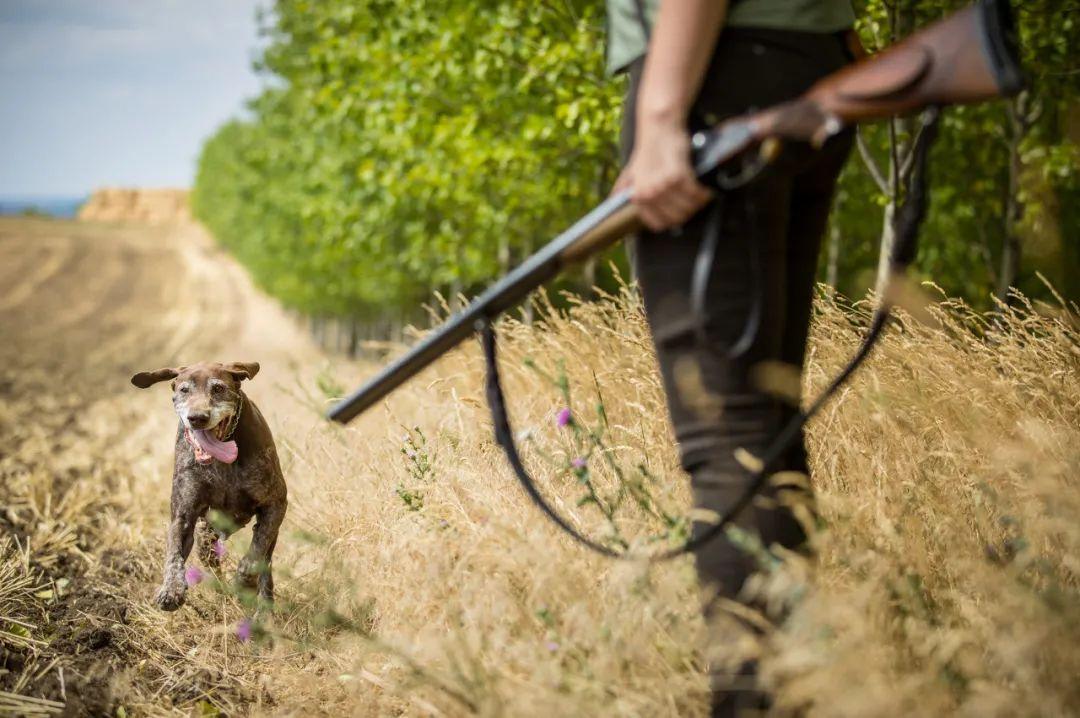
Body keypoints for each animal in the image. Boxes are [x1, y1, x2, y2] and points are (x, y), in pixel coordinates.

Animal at [130, 360, 287, 608]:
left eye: (218, 388)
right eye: (184, 390)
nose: (197, 417)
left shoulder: (276, 503)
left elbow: (255, 553)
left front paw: (243, 582)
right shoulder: (183, 515)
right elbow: (173, 553)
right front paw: (171, 588)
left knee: (265, 561)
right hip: (208, 531)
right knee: (209, 557)